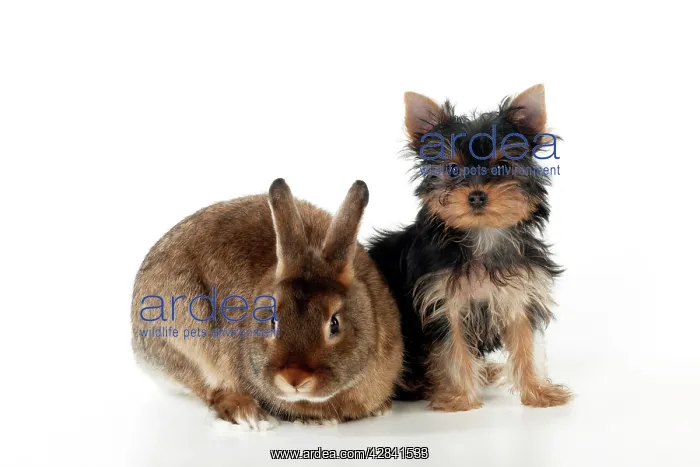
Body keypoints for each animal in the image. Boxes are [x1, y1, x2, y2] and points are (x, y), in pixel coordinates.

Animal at [131, 179, 404, 430]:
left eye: (334, 324)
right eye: (272, 321)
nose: (294, 378)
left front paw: (381, 409)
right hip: (184, 338)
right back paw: (249, 414)